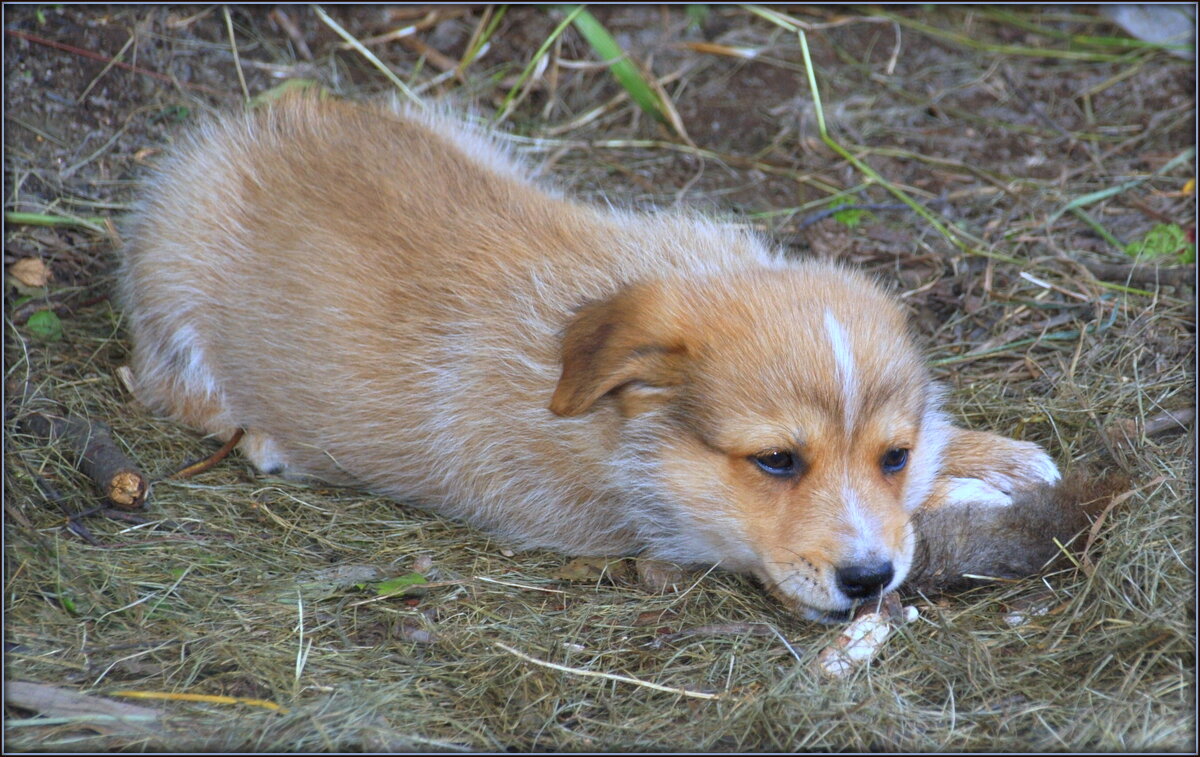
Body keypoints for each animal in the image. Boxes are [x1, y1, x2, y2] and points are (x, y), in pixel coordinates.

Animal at [119, 95, 1060, 623]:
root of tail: (240, 132)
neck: (613, 422)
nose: (871, 578)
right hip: (172, 280)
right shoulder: (644, 522)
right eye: (776, 460)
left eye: (891, 455)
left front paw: (989, 458)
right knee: (164, 380)